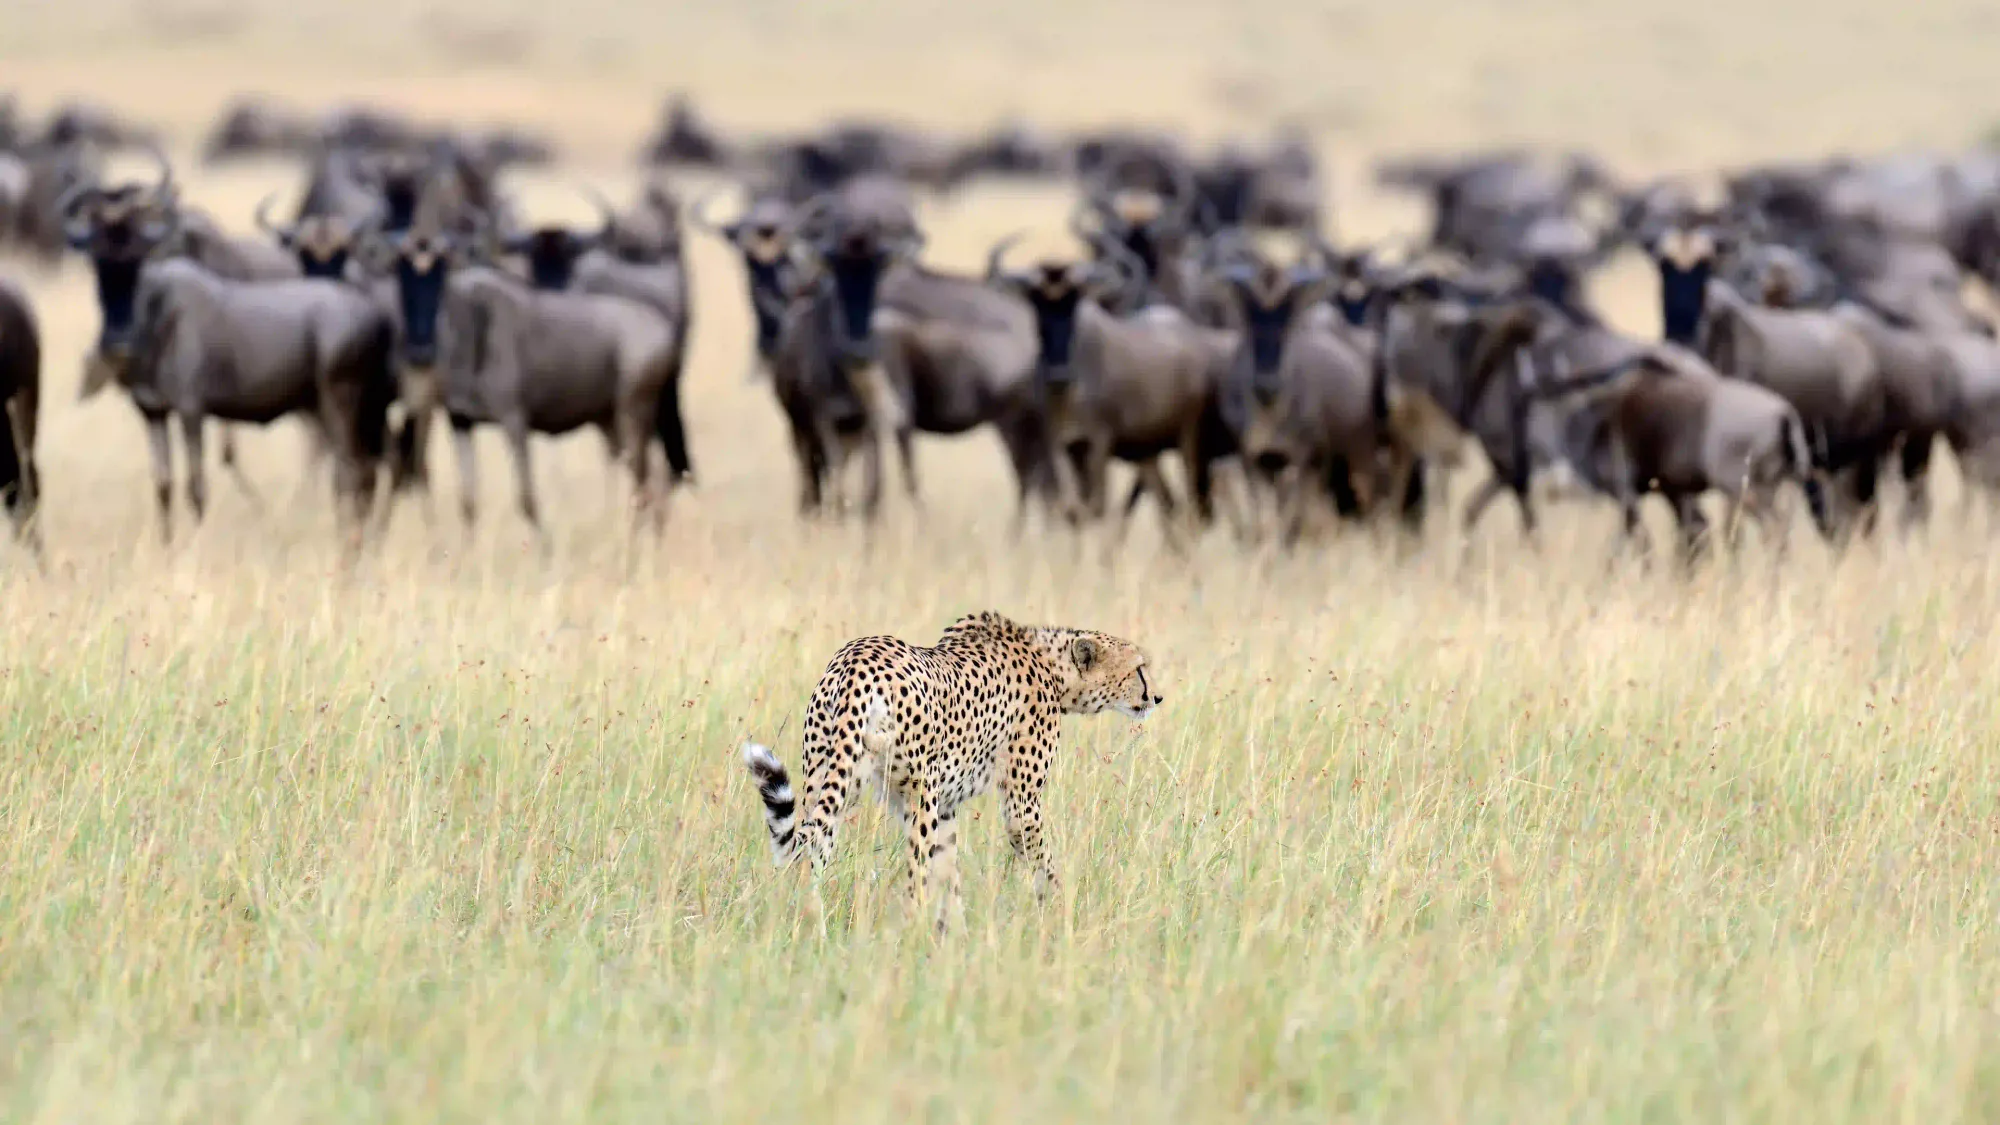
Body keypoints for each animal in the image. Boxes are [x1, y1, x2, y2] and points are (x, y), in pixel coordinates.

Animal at [740, 610, 1163, 933]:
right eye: (1139, 669)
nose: (1157, 697)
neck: (1054, 670)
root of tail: (857, 660)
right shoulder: (1019, 805)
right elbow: (1040, 860)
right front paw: (1060, 911)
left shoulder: (946, 806)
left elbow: (949, 870)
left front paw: (954, 933)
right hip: (916, 795)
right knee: (913, 878)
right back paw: (910, 933)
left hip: (830, 778)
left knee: (809, 854)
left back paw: (810, 926)